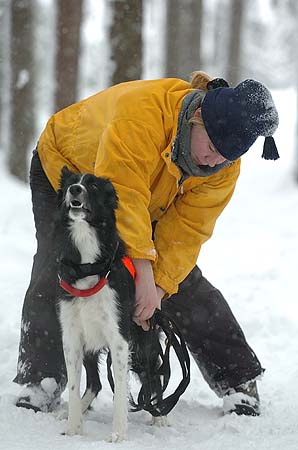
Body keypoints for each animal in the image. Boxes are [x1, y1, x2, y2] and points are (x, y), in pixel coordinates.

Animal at [54, 167, 165, 442]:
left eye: (92, 186)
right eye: (71, 183)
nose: (75, 190)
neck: (87, 265)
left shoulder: (120, 338)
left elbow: (121, 390)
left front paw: (118, 434)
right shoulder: (72, 336)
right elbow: (73, 385)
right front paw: (73, 428)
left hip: (143, 338)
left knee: (153, 374)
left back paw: (159, 415)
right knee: (95, 382)